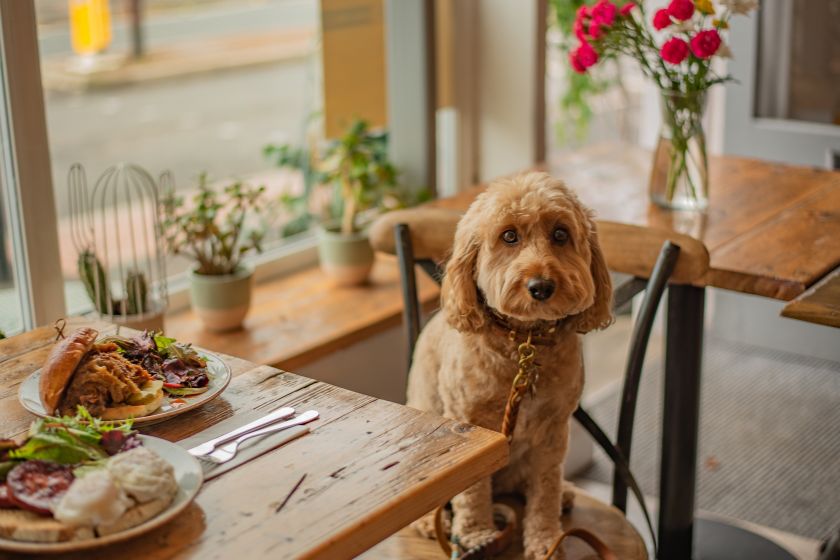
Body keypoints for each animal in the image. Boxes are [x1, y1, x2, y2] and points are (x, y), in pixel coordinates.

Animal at [406, 173, 612, 556]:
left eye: (560, 234)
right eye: (509, 236)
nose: (541, 286)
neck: (523, 343)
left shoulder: (552, 430)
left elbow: (544, 489)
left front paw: (546, 541)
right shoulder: (470, 425)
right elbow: (472, 492)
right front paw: (476, 536)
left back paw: (563, 495)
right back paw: (429, 521)